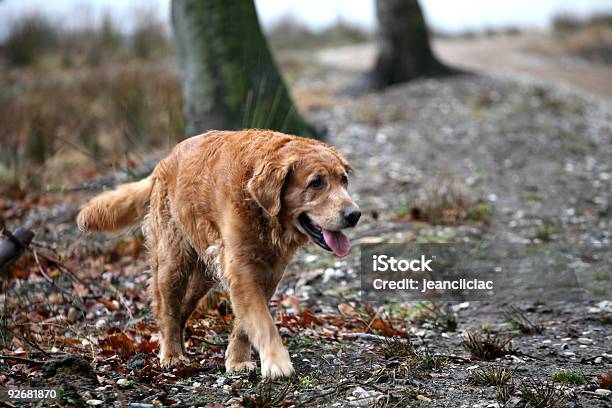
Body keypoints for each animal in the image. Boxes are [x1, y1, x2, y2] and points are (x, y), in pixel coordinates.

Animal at [78, 129, 360, 378]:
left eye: (344, 180)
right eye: (316, 183)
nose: (354, 214)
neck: (262, 211)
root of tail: (163, 162)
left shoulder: (268, 273)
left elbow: (246, 324)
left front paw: (237, 360)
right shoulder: (241, 269)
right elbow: (263, 322)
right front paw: (277, 363)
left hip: (204, 274)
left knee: (182, 309)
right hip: (173, 263)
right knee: (167, 310)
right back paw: (171, 353)